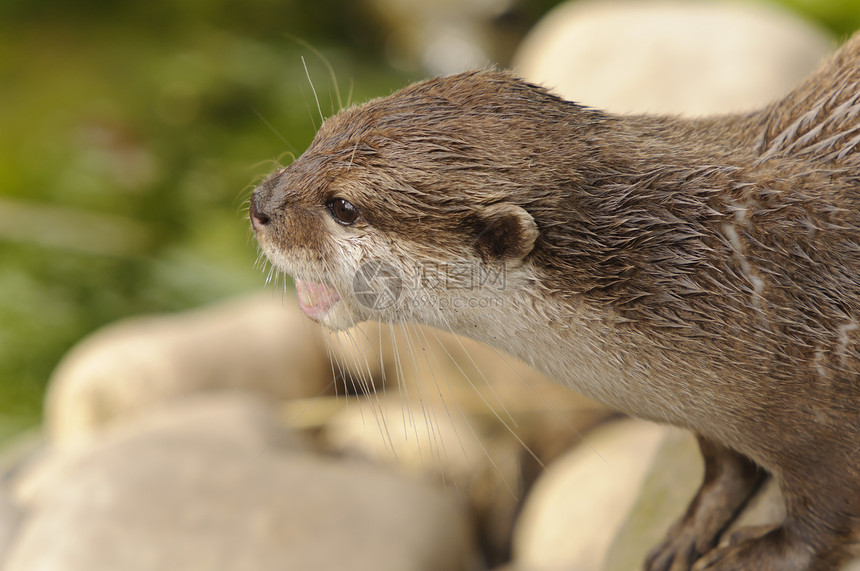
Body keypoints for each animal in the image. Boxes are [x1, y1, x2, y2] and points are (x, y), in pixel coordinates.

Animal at [247, 32, 860, 571]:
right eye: (321, 133)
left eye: (343, 206)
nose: (260, 203)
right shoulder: (708, 406)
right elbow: (724, 463)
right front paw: (690, 527)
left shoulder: (827, 398)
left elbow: (823, 515)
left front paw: (758, 553)